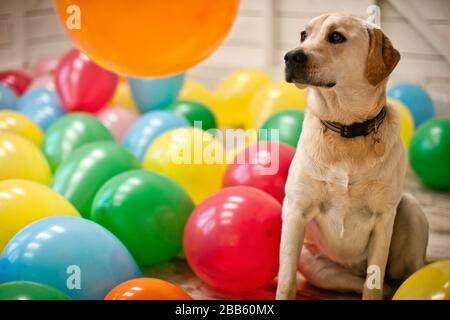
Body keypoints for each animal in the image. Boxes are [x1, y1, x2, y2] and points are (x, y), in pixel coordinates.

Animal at [276, 13, 428, 300]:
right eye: (304, 35)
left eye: (336, 36)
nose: (290, 56)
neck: (347, 130)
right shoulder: (296, 210)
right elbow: (287, 282)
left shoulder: (383, 218)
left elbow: (373, 284)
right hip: (317, 267)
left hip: (410, 211)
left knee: (402, 277)